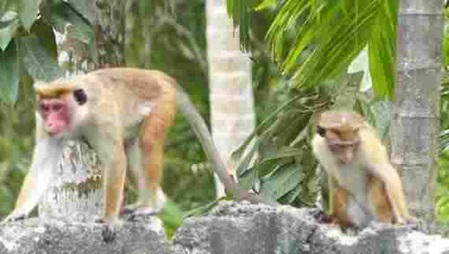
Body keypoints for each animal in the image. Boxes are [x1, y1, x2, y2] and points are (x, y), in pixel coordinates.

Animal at [2, 67, 256, 226]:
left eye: (57, 107)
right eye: (46, 108)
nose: (50, 122)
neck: (80, 114)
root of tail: (159, 76)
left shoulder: (102, 116)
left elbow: (115, 161)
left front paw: (108, 219)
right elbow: (43, 164)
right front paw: (18, 212)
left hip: (163, 103)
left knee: (147, 143)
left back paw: (149, 206)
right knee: (131, 152)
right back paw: (154, 202)